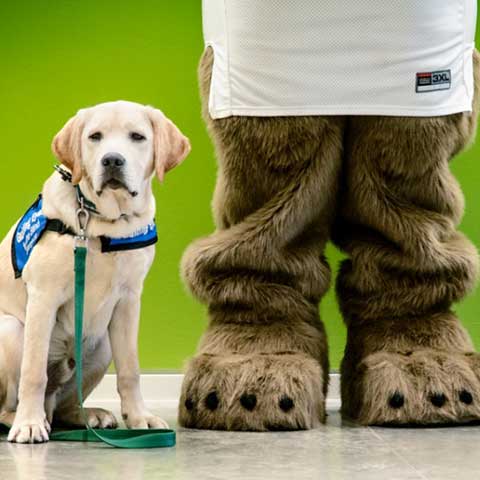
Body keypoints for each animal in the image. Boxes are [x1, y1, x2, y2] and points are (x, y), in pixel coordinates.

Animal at [0, 100, 190, 442]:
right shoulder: (43, 297)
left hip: (101, 345)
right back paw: (25, 419)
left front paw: (139, 417)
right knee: (16, 399)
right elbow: (33, 371)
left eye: (137, 137)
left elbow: (131, 369)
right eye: (95, 137)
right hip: (10, 330)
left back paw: (87, 415)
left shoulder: (129, 300)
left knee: (61, 406)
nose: (112, 160)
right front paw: (29, 424)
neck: (105, 222)